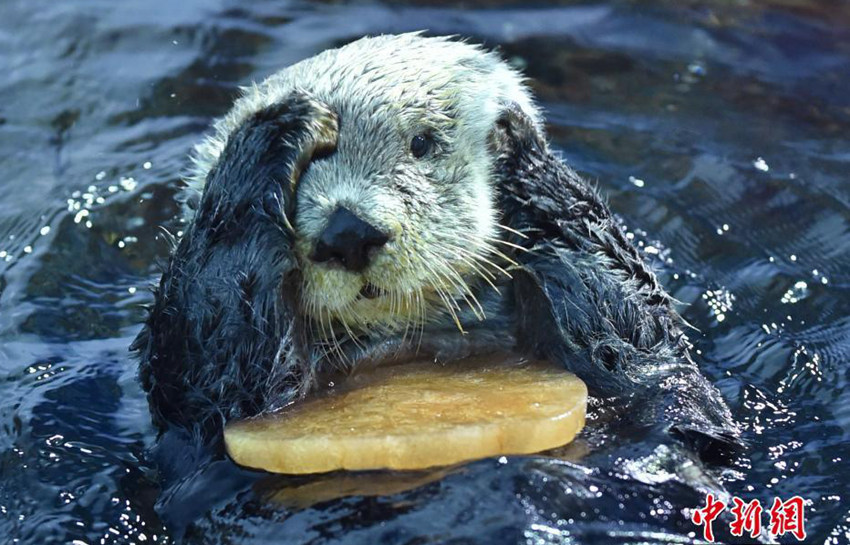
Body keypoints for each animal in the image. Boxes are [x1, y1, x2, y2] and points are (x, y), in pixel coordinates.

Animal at [132, 33, 736, 464]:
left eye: (422, 143)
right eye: (298, 177)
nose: (348, 233)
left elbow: (647, 357)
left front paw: (518, 148)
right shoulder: (204, 415)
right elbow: (216, 378)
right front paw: (272, 132)